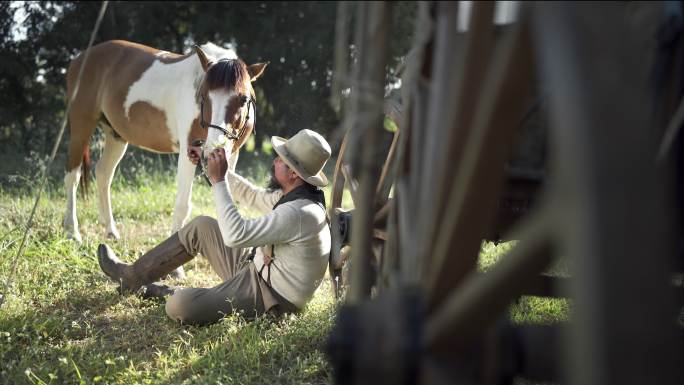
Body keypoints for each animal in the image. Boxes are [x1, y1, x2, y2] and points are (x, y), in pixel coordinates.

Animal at [63, 40, 268, 249]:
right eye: (202, 95)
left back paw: (110, 230)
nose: (212, 149)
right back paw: (72, 232)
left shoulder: (232, 155)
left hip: (116, 136)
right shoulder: (188, 154)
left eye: (243, 99)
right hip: (81, 127)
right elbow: (182, 206)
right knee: (73, 176)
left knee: (104, 173)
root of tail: (79, 59)